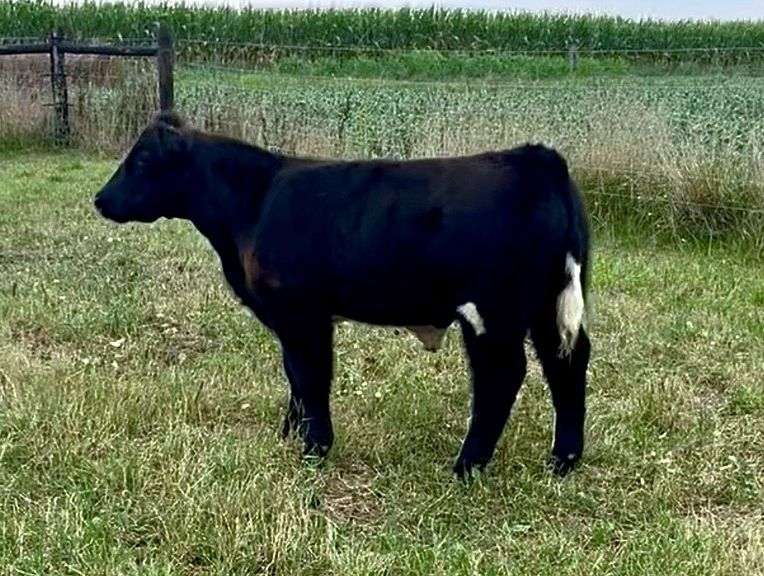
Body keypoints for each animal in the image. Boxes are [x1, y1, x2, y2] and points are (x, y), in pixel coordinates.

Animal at [94, 112, 591, 478]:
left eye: (141, 161)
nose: (100, 199)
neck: (254, 201)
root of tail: (537, 158)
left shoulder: (302, 313)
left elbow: (310, 376)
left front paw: (314, 448)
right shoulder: (292, 320)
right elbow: (295, 377)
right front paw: (290, 434)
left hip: (493, 312)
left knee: (502, 376)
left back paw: (467, 466)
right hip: (549, 308)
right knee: (565, 363)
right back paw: (562, 461)